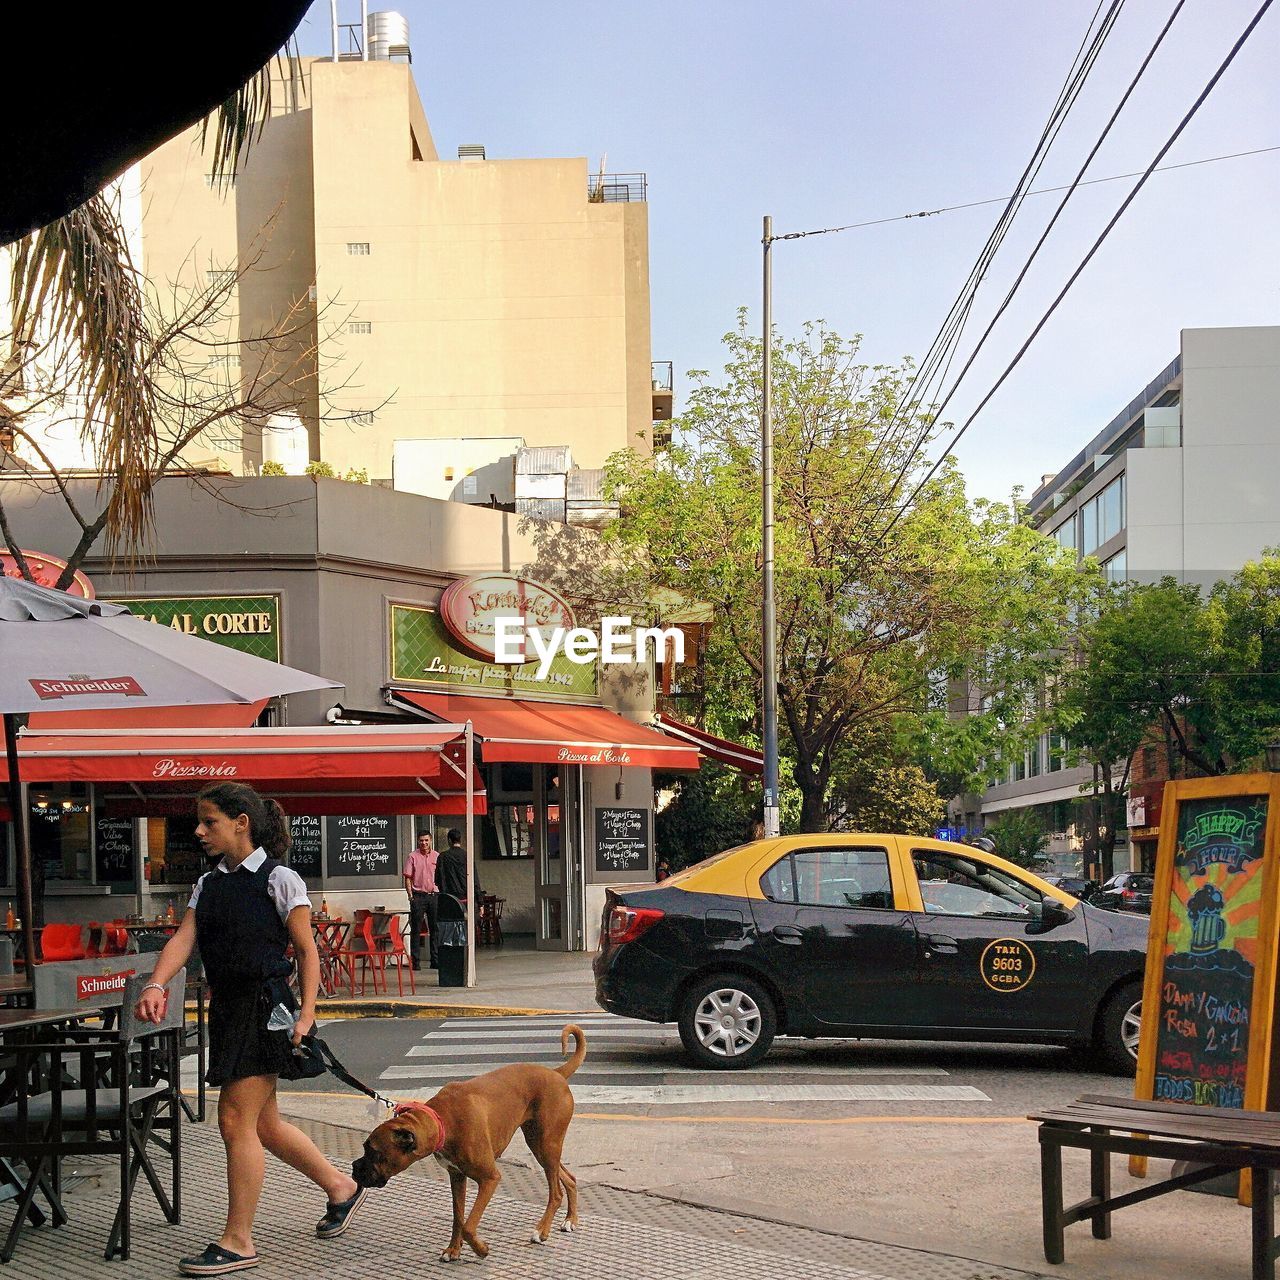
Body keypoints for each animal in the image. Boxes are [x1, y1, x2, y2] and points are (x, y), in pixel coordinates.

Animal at [353, 1018, 586, 1259]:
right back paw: (570, 1220)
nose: (354, 1167)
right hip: (540, 1145)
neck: (443, 1120)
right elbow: (458, 1217)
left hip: (546, 1144)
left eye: (374, 1152)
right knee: (569, 1178)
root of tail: (557, 1073)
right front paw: (453, 1249)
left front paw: (481, 1249)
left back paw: (542, 1231)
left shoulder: (490, 1178)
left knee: (556, 1193)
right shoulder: (457, 1177)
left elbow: (468, 1224)